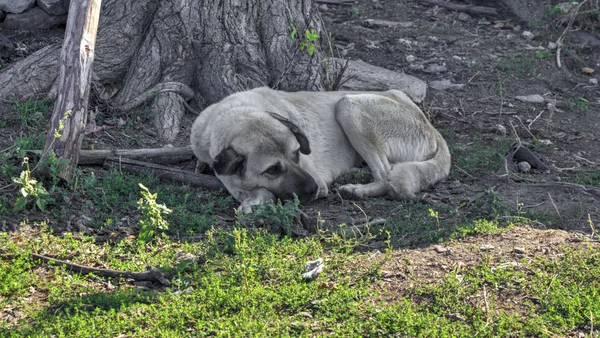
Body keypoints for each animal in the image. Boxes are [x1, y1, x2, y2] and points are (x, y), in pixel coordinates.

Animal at [190, 88, 448, 213]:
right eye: (273, 169)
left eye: (297, 154)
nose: (315, 189)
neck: (236, 113)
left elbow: (263, 191)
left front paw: (254, 200)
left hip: (348, 106)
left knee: (385, 175)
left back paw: (357, 190)